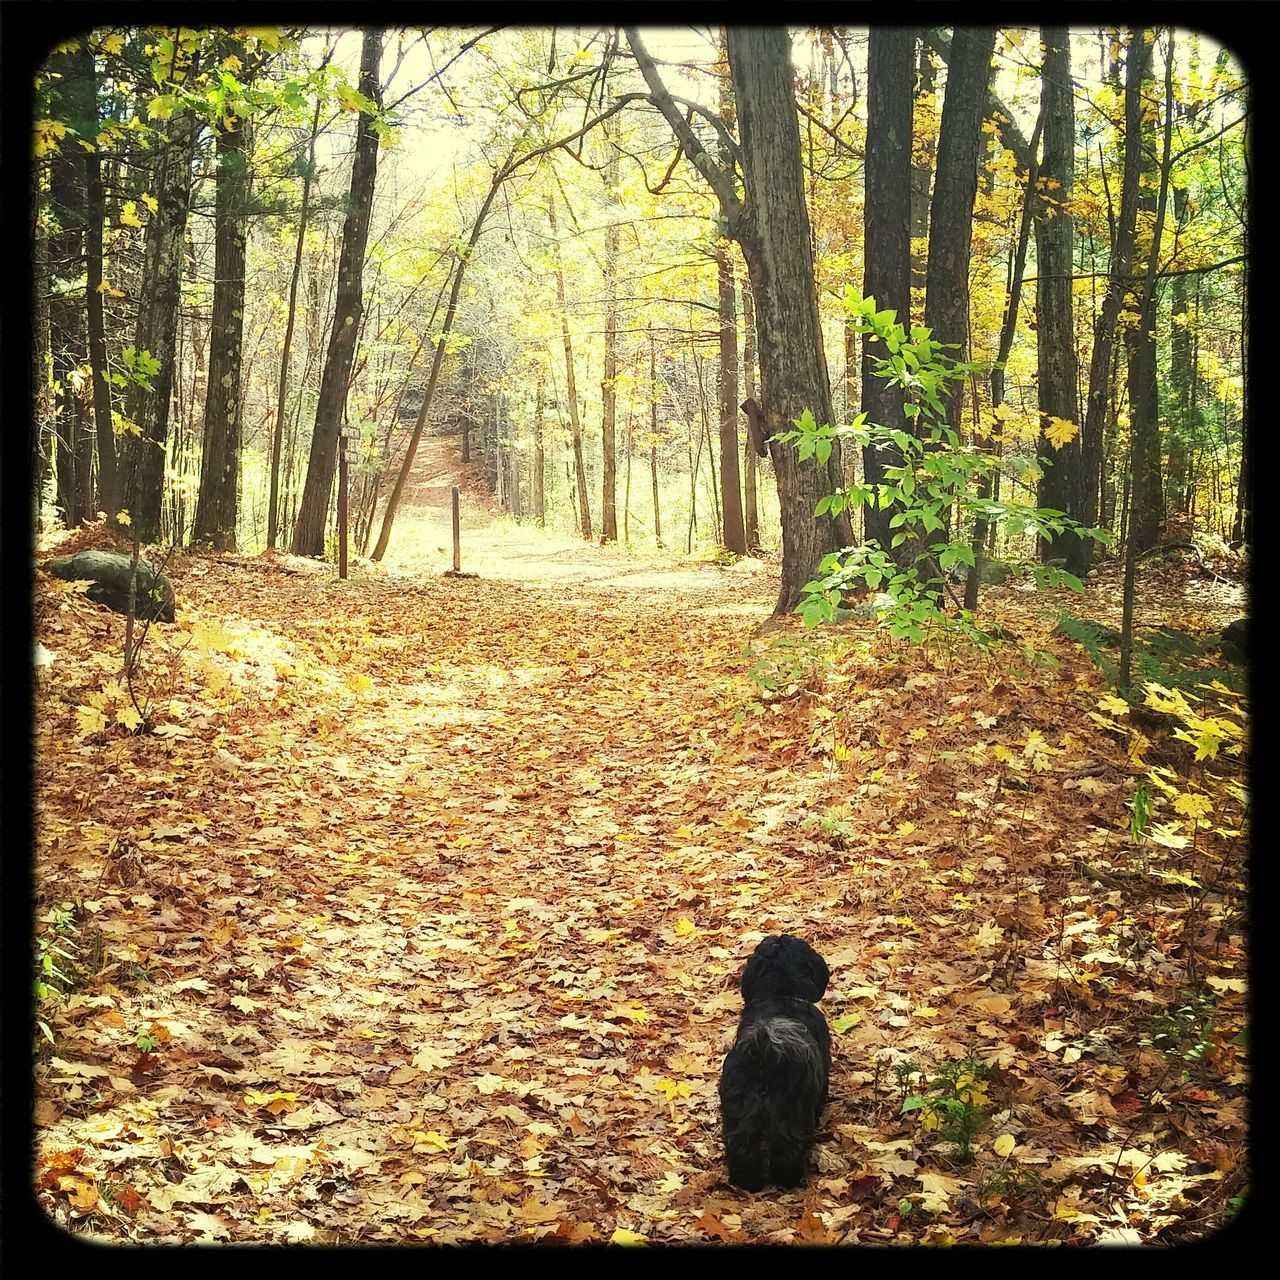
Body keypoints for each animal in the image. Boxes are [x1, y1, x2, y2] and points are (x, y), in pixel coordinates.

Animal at [721, 931, 829, 1187]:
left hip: (739, 1107)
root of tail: (763, 1051)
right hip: (792, 1110)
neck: (779, 994)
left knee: (741, 1145)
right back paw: (789, 1179)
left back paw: (746, 1182)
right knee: (788, 1147)